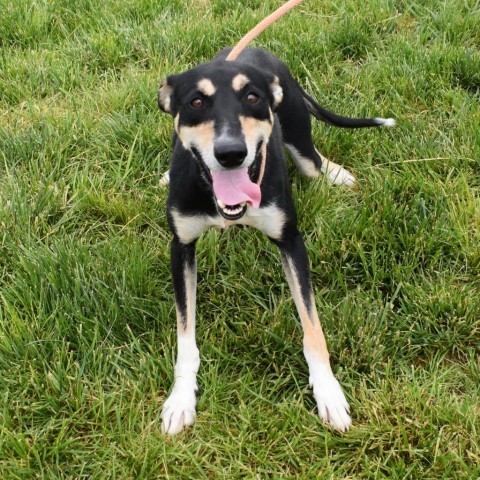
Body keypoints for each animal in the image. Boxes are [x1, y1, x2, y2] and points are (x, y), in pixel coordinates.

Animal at [158, 47, 394, 436]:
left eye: (252, 98)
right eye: (196, 102)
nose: (231, 153)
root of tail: (256, 49)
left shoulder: (291, 241)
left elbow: (313, 329)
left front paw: (328, 390)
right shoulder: (181, 248)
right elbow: (185, 337)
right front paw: (181, 398)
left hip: (299, 132)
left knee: (314, 162)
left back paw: (337, 173)